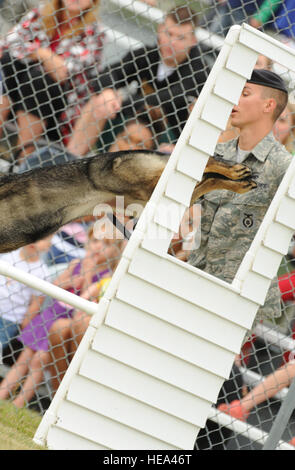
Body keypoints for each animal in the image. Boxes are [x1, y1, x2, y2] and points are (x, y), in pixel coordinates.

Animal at [0, 151, 256, 253]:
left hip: (146, 182)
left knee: (203, 164)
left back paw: (235, 173)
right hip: (149, 197)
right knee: (205, 179)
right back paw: (239, 181)